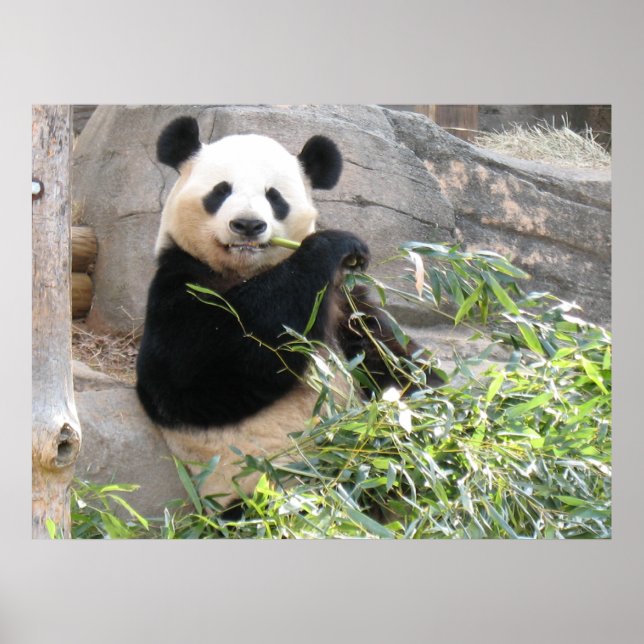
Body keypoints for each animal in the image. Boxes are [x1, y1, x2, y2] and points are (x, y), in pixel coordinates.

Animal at [136, 115, 436, 508]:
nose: (248, 225)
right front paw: (336, 243)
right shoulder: (181, 279)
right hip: (260, 490)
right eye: (221, 191)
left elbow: (388, 356)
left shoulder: (343, 302)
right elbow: (192, 371)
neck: (248, 271)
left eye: (274, 197)